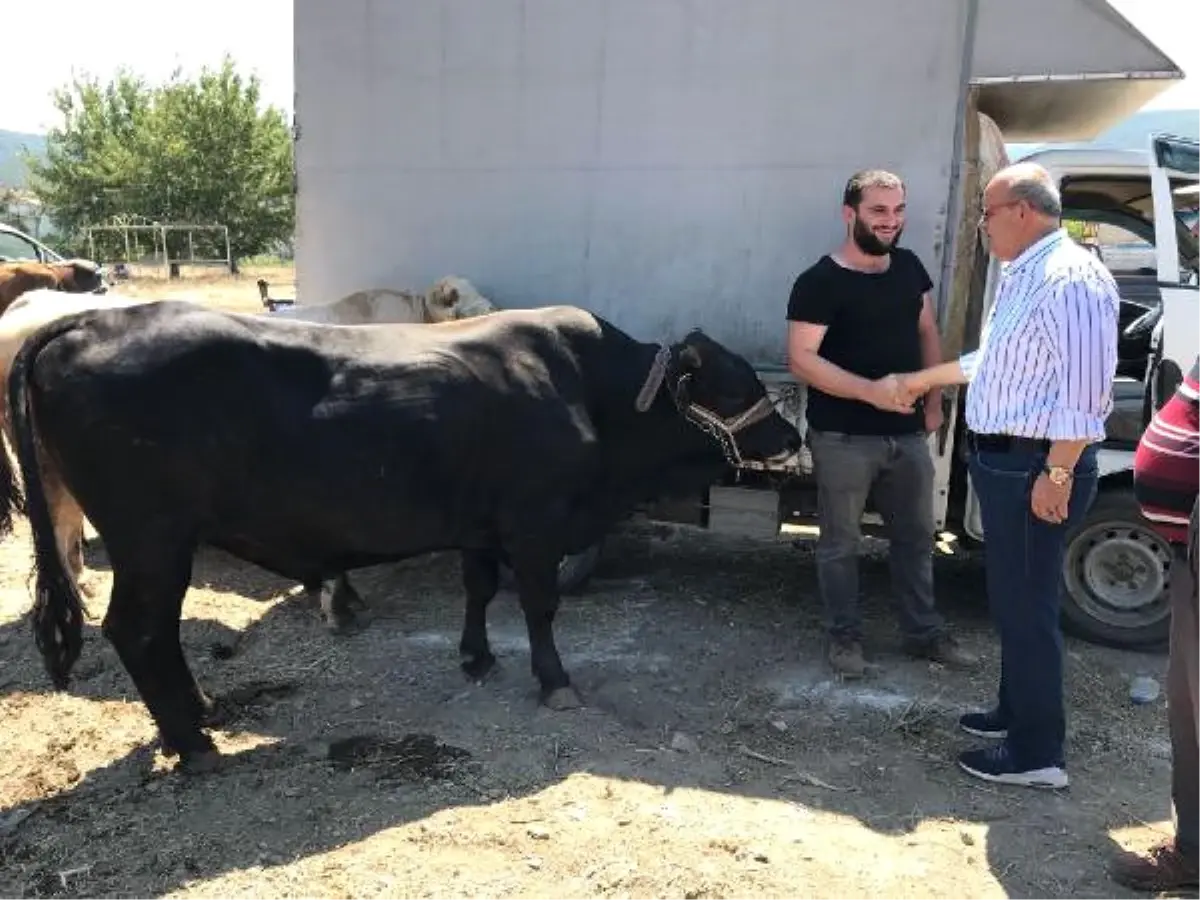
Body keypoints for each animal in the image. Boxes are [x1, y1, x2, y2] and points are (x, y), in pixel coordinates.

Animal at [2, 300, 806, 772]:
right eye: (736, 386)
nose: (793, 434)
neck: (589, 390)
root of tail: (88, 321)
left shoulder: (481, 523)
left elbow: (479, 589)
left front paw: (476, 658)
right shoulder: (536, 519)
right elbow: (539, 606)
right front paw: (555, 682)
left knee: (155, 636)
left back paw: (195, 717)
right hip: (151, 539)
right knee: (136, 630)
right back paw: (195, 745)